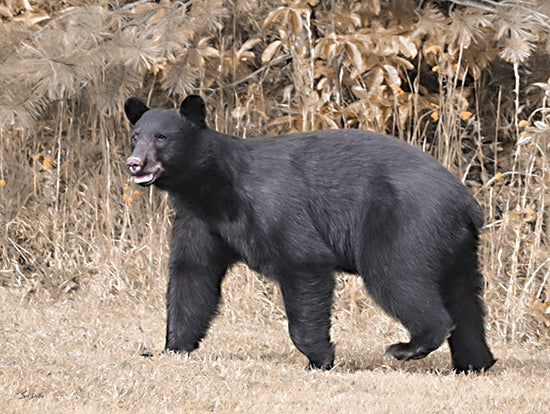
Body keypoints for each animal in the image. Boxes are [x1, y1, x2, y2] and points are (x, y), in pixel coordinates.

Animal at [124, 95, 496, 374]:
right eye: (136, 135)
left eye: (162, 137)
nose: (135, 163)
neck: (211, 188)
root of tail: (467, 203)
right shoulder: (201, 222)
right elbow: (192, 274)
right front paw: (170, 348)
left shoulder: (272, 207)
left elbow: (302, 262)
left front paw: (320, 358)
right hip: (457, 246)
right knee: (464, 298)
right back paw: (475, 363)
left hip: (407, 224)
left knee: (396, 277)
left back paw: (408, 347)